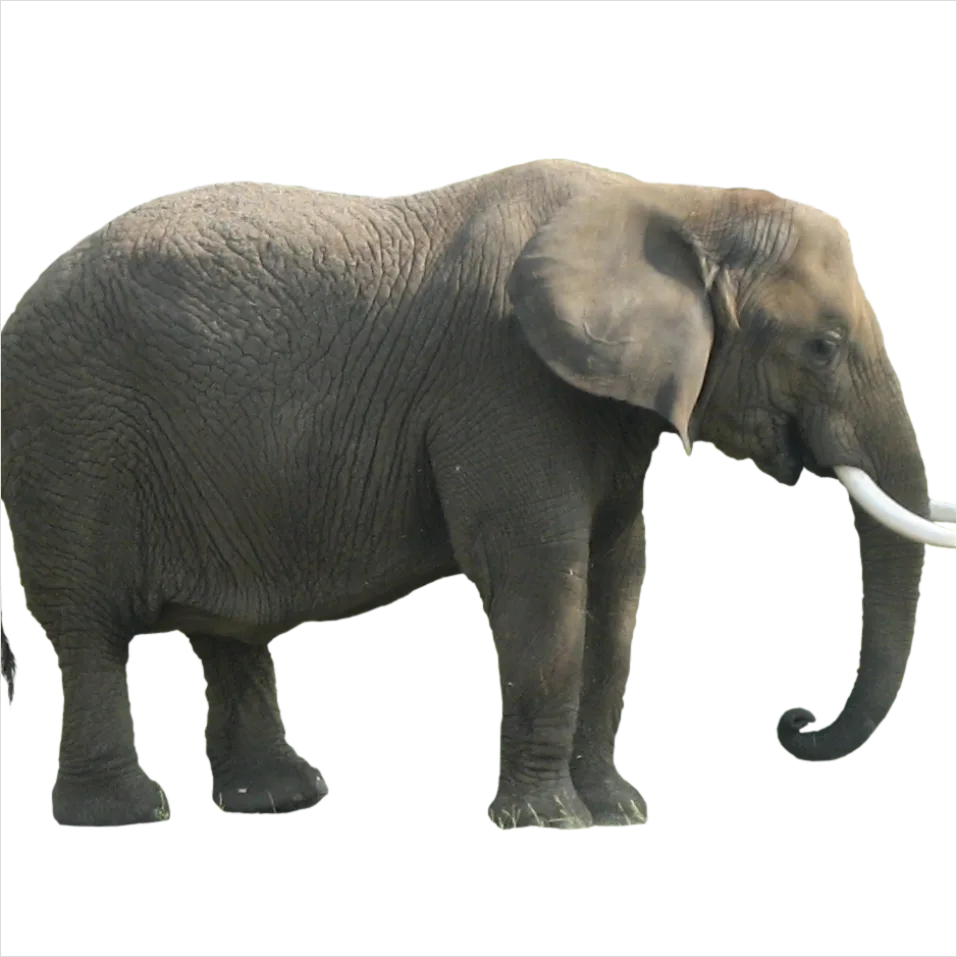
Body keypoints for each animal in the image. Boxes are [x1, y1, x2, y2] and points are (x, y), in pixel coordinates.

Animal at [1, 160, 953, 831]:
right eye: (822, 346)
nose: (790, 719)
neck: (675, 206)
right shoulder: (503, 383)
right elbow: (541, 575)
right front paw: (553, 824)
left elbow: (617, 585)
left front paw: (619, 815)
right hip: (72, 437)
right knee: (90, 628)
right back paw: (124, 816)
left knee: (229, 632)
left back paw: (281, 799)